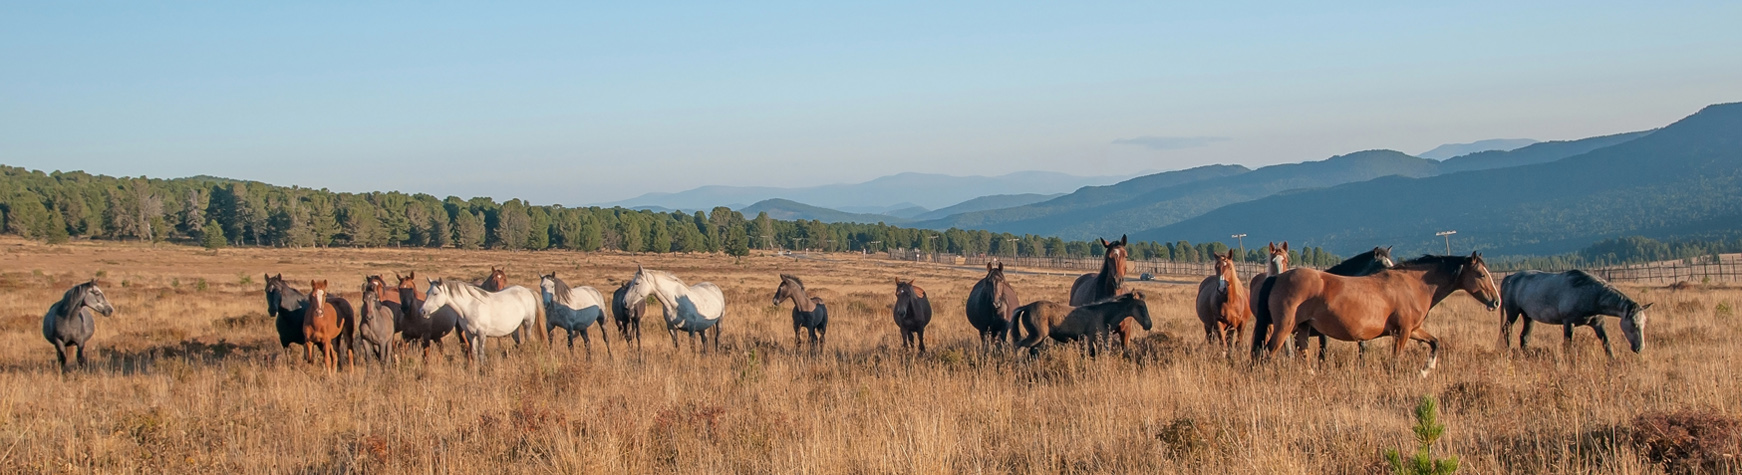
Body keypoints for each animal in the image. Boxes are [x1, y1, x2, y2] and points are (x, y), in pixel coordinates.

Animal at [1017, 292, 1149, 354]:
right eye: (1141, 307)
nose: (1149, 324)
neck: (1102, 314)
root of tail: (1026, 307)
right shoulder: (1091, 339)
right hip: (1037, 336)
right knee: (1019, 346)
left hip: (1039, 339)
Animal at [1254, 250, 1498, 374]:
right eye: (1481, 274)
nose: (1496, 301)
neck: (1412, 284)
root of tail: (1278, 277)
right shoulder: (1403, 332)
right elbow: (1395, 360)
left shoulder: (1412, 330)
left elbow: (1435, 342)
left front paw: (1426, 370)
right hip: (1283, 328)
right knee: (1265, 354)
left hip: (1302, 330)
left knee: (1302, 355)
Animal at [1505, 269, 1651, 354]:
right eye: (1633, 324)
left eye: (1644, 323)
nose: (1640, 348)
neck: (1591, 294)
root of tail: (1511, 277)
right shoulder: (1568, 322)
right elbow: (1568, 345)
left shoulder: (1598, 324)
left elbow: (1607, 343)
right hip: (1513, 313)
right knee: (1507, 330)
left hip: (1528, 317)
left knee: (1524, 336)